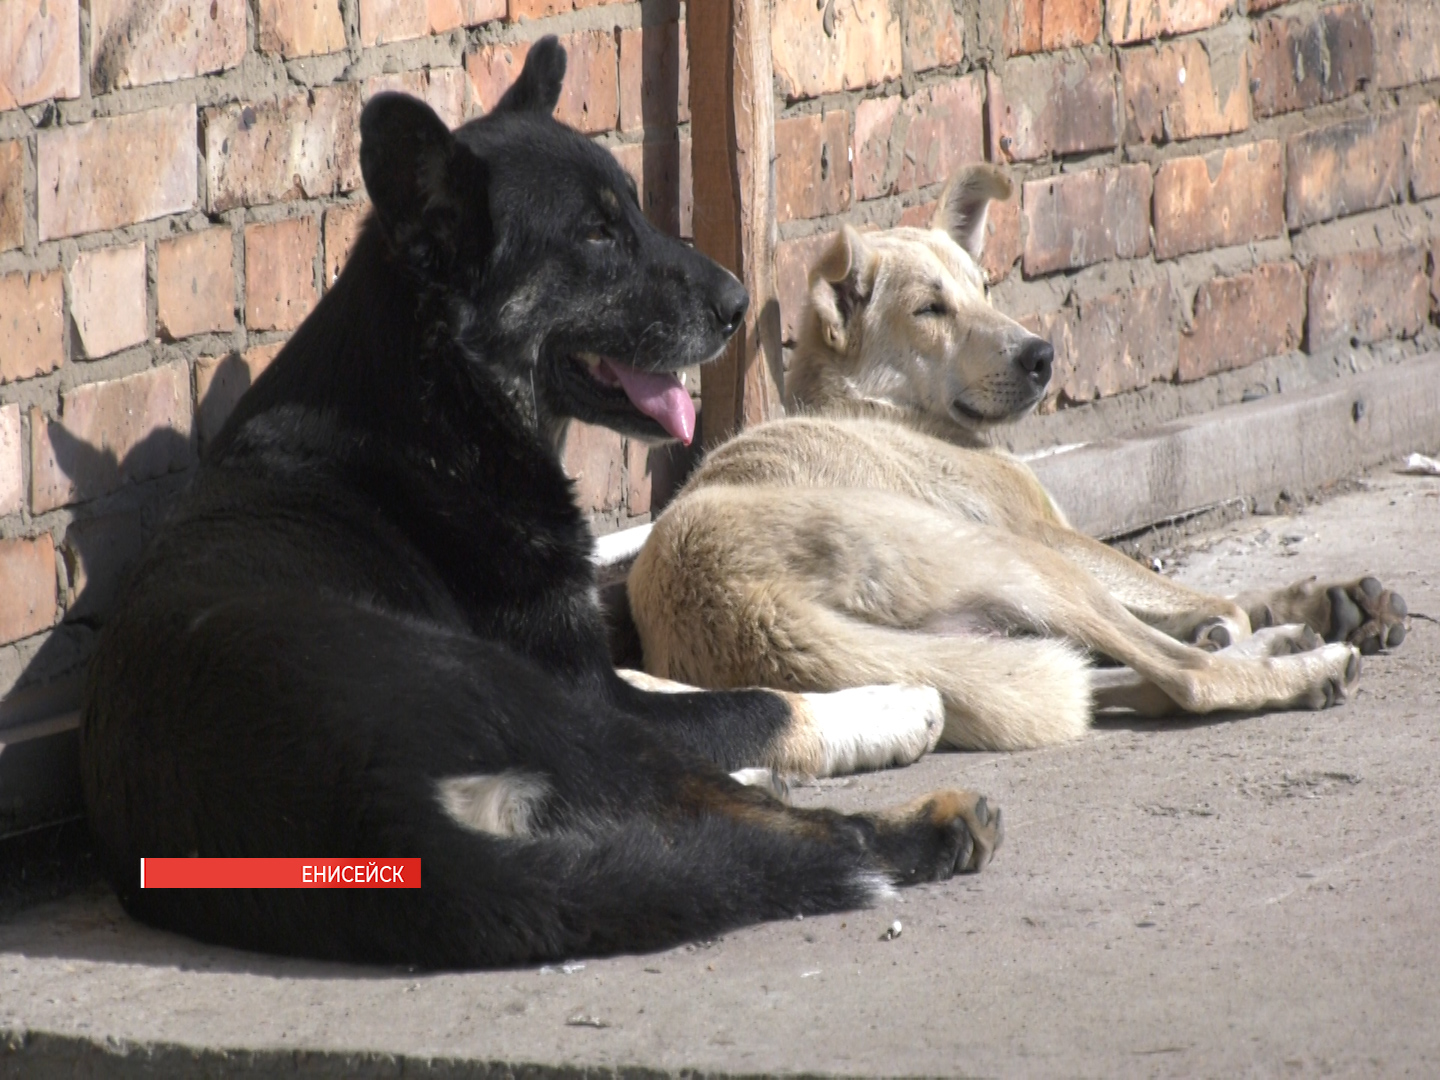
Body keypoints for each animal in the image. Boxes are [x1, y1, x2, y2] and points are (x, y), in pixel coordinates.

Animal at [78, 44, 1002, 973]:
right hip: (544, 709)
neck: (444, 403)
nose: (743, 304)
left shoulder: (600, 676)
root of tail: (371, 825)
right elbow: (757, 705)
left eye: (635, 208)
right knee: (806, 834)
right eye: (595, 235)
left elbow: (681, 688)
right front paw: (890, 703)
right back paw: (932, 824)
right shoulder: (590, 693)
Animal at [627, 167, 1405, 754]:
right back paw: (1305, 667)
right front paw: (1250, 619)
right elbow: (1199, 600)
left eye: (983, 288)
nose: (1042, 356)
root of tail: (750, 612)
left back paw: (1291, 637)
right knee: (1182, 677)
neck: (871, 404)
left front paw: (1315, 600)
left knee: (1114, 679)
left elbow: (1203, 598)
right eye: (930, 309)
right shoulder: (1048, 531)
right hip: (1026, 564)